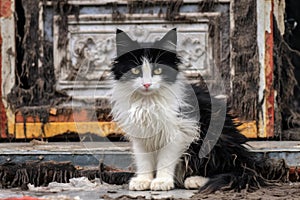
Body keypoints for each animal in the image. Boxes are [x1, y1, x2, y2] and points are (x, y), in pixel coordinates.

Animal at [109, 28, 286, 192]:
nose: (146, 84)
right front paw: (143, 180)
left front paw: (162, 182)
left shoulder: (179, 130)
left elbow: (166, 158)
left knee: (225, 168)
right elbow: (143, 159)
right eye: (135, 71)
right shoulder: (140, 133)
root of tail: (246, 162)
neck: (148, 101)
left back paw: (196, 180)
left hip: (213, 135)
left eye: (158, 70)